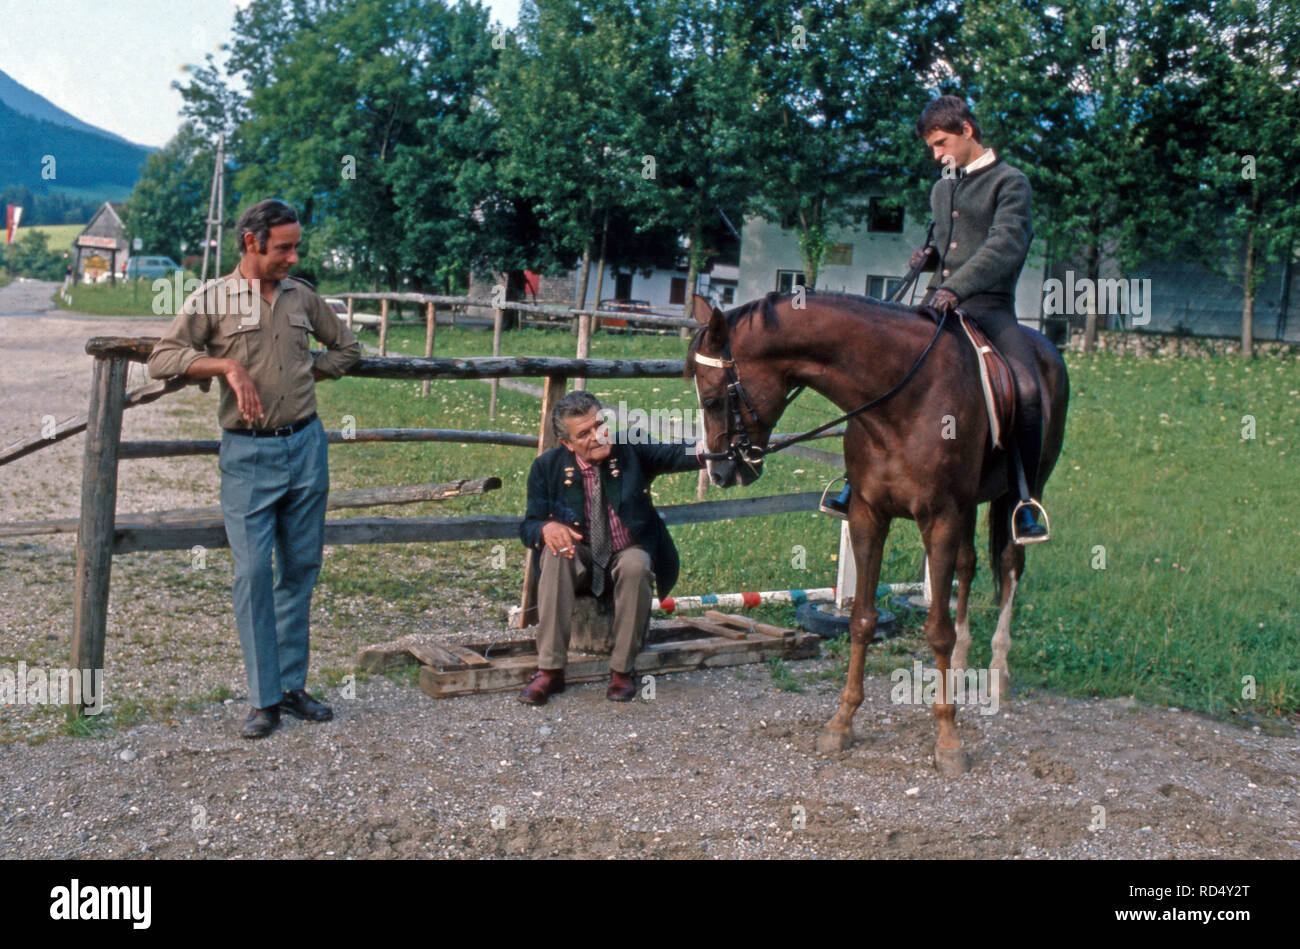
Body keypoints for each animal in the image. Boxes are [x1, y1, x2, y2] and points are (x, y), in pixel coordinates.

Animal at [686, 292, 1071, 774]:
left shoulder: (940, 517)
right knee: (968, 565)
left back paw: (999, 672)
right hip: (967, 507)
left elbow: (936, 630)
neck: (901, 401)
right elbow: (862, 620)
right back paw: (962, 663)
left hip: (1024, 490)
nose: (720, 472)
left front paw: (948, 739)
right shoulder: (869, 515)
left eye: (714, 399)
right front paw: (841, 722)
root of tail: (1046, 347)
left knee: (1010, 563)